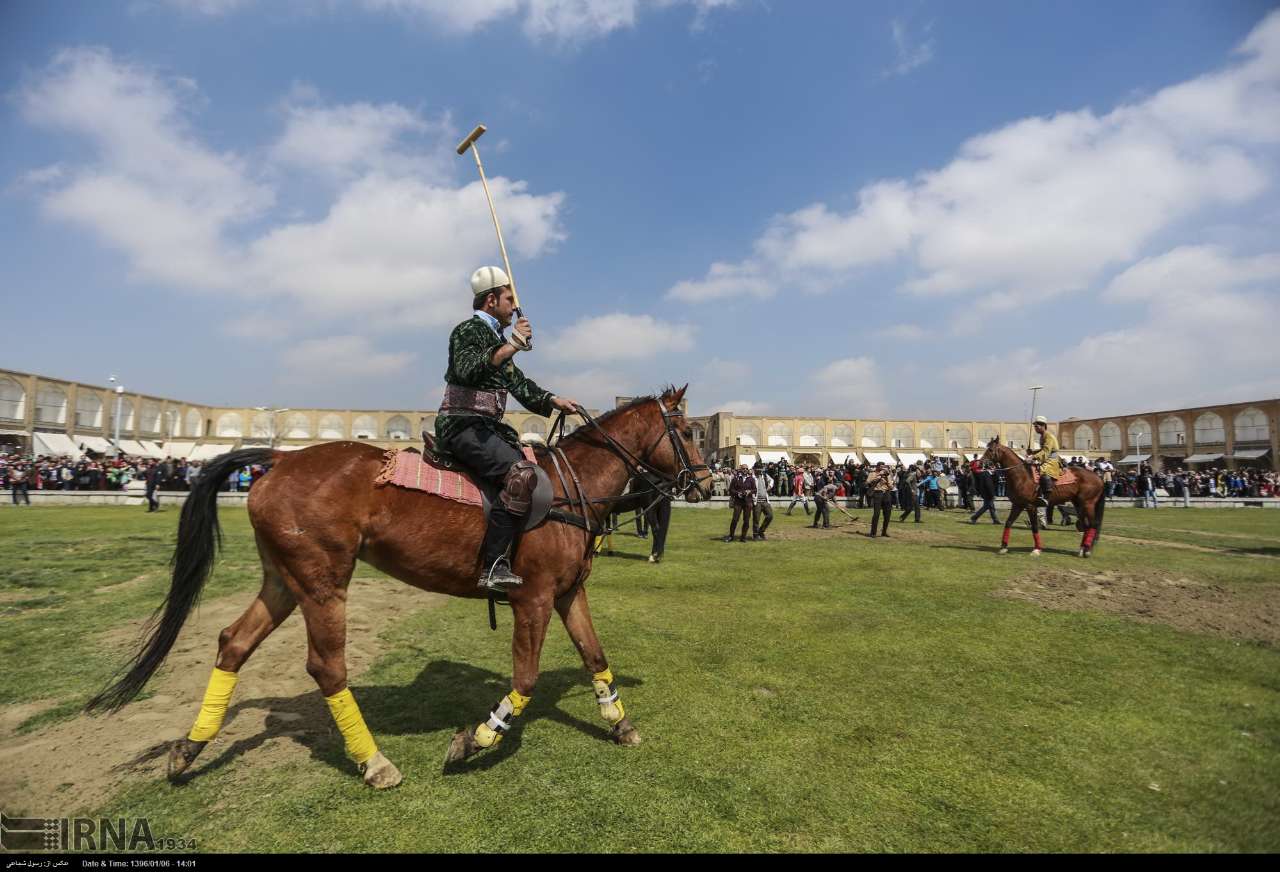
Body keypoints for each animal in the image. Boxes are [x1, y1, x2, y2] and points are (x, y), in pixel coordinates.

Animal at [90, 384, 711, 783]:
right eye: (685, 431)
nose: (705, 482)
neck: (569, 488)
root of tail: (279, 460)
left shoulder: (566, 593)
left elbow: (595, 654)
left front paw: (620, 724)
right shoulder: (531, 598)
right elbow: (527, 679)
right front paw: (475, 740)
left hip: (286, 579)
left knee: (233, 643)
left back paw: (190, 749)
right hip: (323, 582)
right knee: (327, 667)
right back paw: (373, 761)